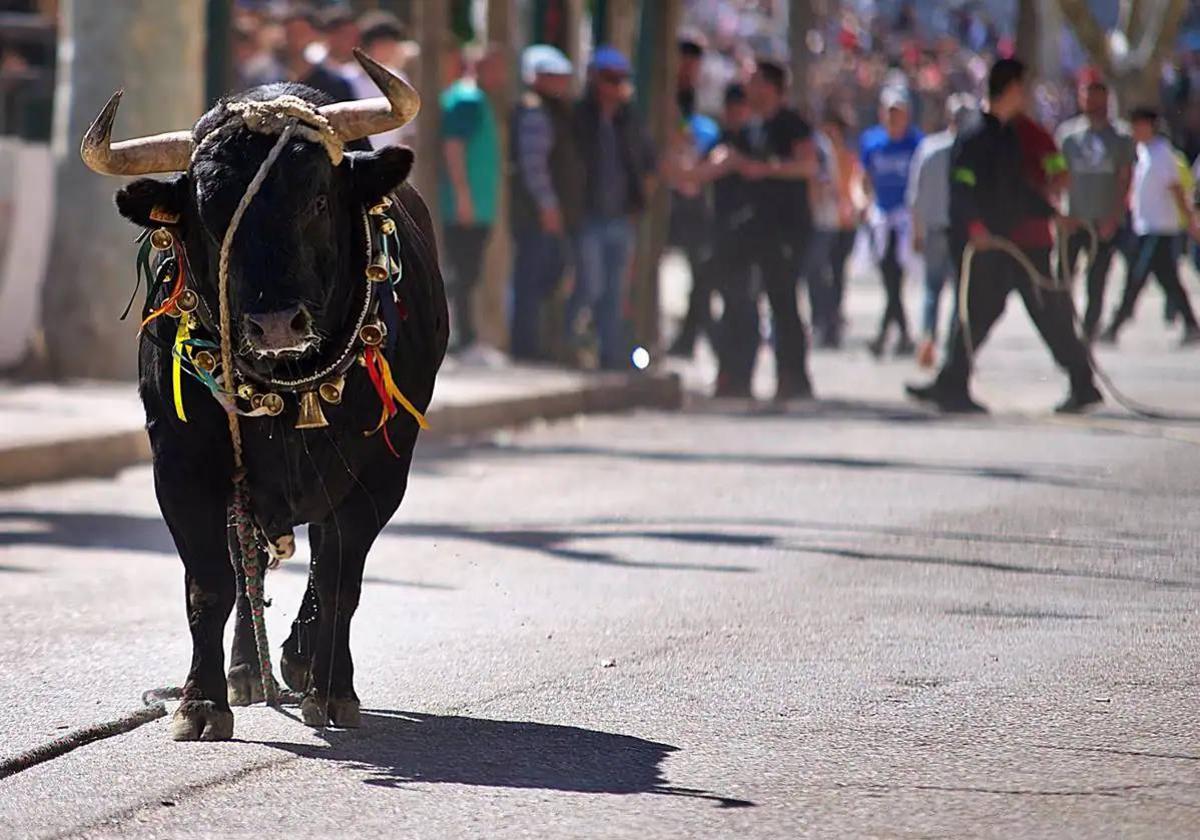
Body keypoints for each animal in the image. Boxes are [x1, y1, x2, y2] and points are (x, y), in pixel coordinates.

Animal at [103, 83, 448, 739]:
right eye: (208, 212)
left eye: (316, 198)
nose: (275, 324)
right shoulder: (182, 466)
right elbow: (211, 583)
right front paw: (201, 702)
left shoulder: (381, 475)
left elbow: (340, 583)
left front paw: (333, 690)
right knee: (247, 568)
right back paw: (246, 670)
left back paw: (298, 661)